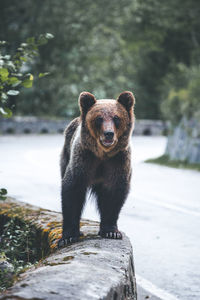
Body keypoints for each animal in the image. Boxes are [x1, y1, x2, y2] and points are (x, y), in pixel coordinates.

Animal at [58, 91, 135, 246]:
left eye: (116, 118)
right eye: (99, 118)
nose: (109, 133)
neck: (102, 154)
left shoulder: (117, 162)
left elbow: (113, 194)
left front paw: (111, 232)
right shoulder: (83, 159)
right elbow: (72, 192)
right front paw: (69, 236)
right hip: (66, 153)